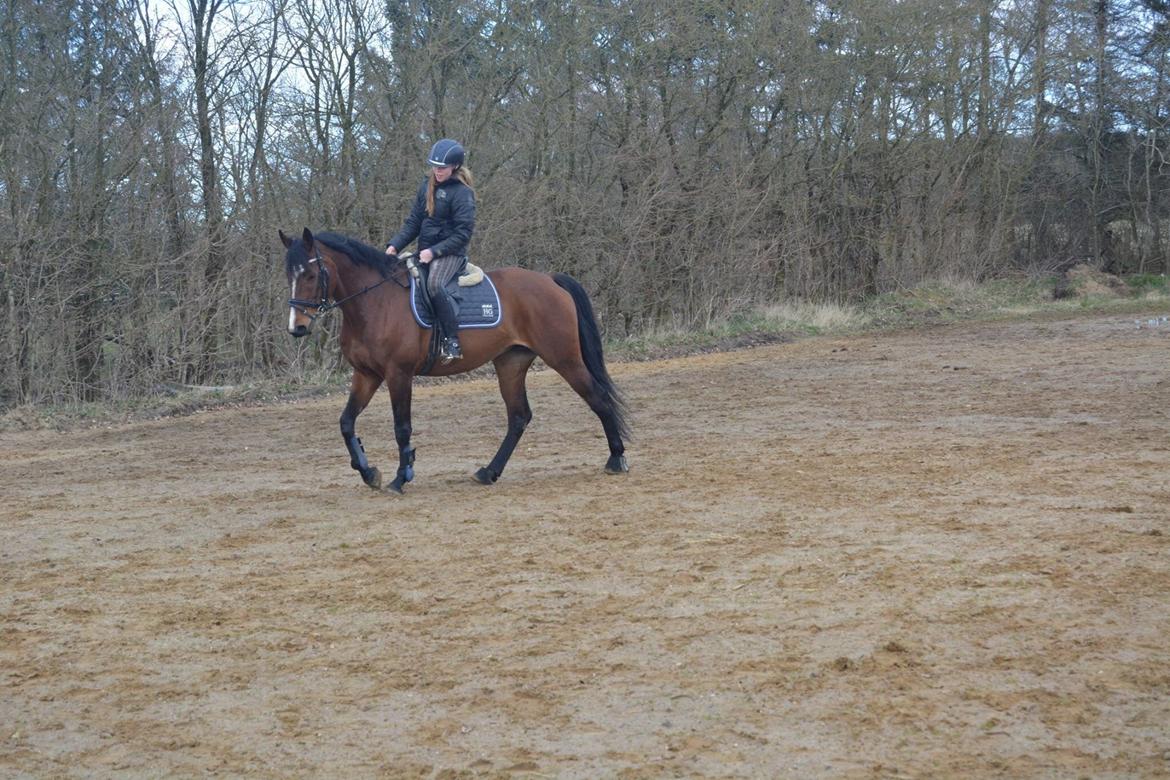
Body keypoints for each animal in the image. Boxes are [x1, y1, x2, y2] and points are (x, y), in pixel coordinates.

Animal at [280, 228, 629, 493]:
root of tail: (550, 280)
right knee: (519, 416)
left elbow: (402, 427)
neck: (375, 302)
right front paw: (369, 472)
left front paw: (400, 477)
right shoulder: (366, 375)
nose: (297, 327)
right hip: (511, 363)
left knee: (597, 397)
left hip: (564, 358)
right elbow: (346, 422)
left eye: (310, 274)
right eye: (289, 276)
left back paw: (616, 459)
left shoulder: (398, 374)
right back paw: (489, 472)